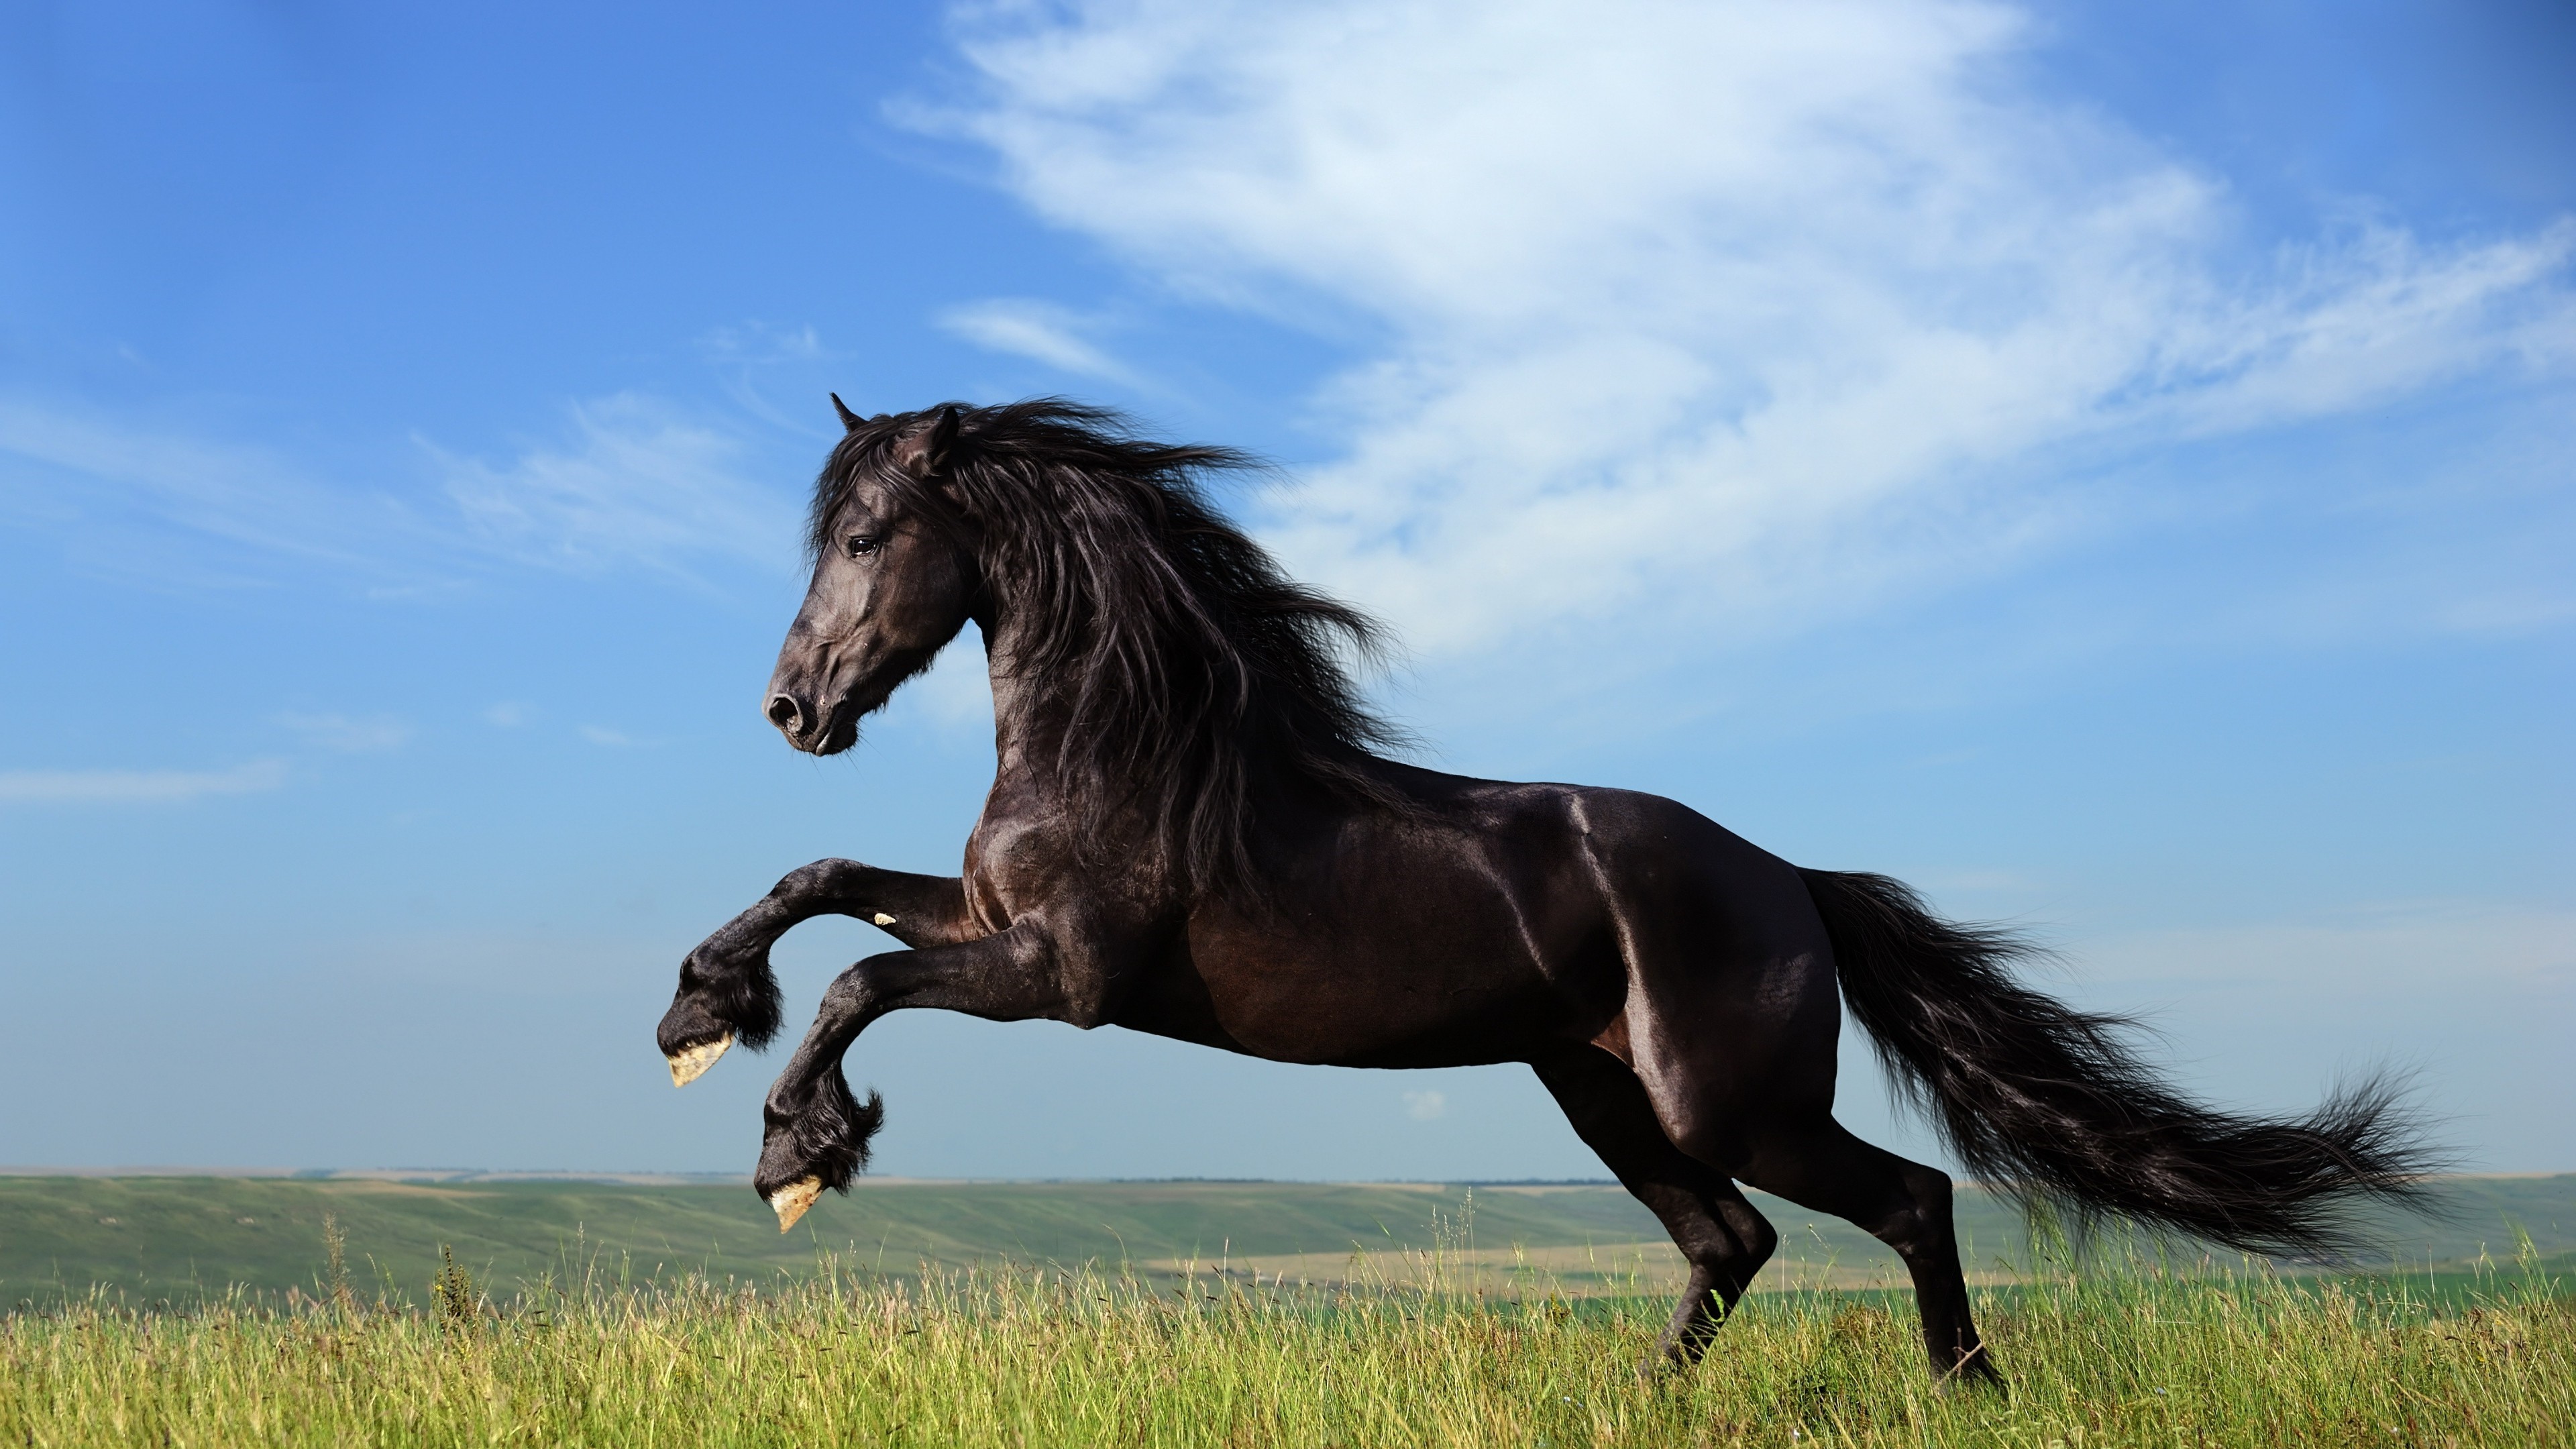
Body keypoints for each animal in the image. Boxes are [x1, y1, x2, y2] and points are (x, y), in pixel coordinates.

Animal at [656, 397, 2427, 1385]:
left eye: (867, 537)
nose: (793, 710)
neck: (1129, 746)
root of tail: (1793, 881)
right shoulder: (986, 920)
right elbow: (822, 882)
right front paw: (697, 1013)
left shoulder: (1062, 975)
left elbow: (859, 979)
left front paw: (797, 1151)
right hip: (1599, 1091)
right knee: (1729, 1242)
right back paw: (1646, 1405)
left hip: (1727, 1098)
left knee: (1902, 1202)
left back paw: (1967, 1389)